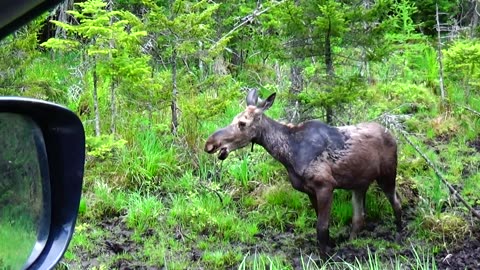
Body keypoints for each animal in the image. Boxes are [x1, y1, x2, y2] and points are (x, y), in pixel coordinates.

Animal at [202, 89, 402, 253]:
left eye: (242, 123)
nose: (210, 144)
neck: (289, 154)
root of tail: (393, 137)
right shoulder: (309, 190)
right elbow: (322, 225)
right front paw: (330, 248)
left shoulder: (325, 186)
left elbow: (322, 228)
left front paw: (325, 257)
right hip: (359, 184)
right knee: (359, 218)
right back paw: (351, 244)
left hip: (387, 174)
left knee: (397, 203)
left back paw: (399, 237)